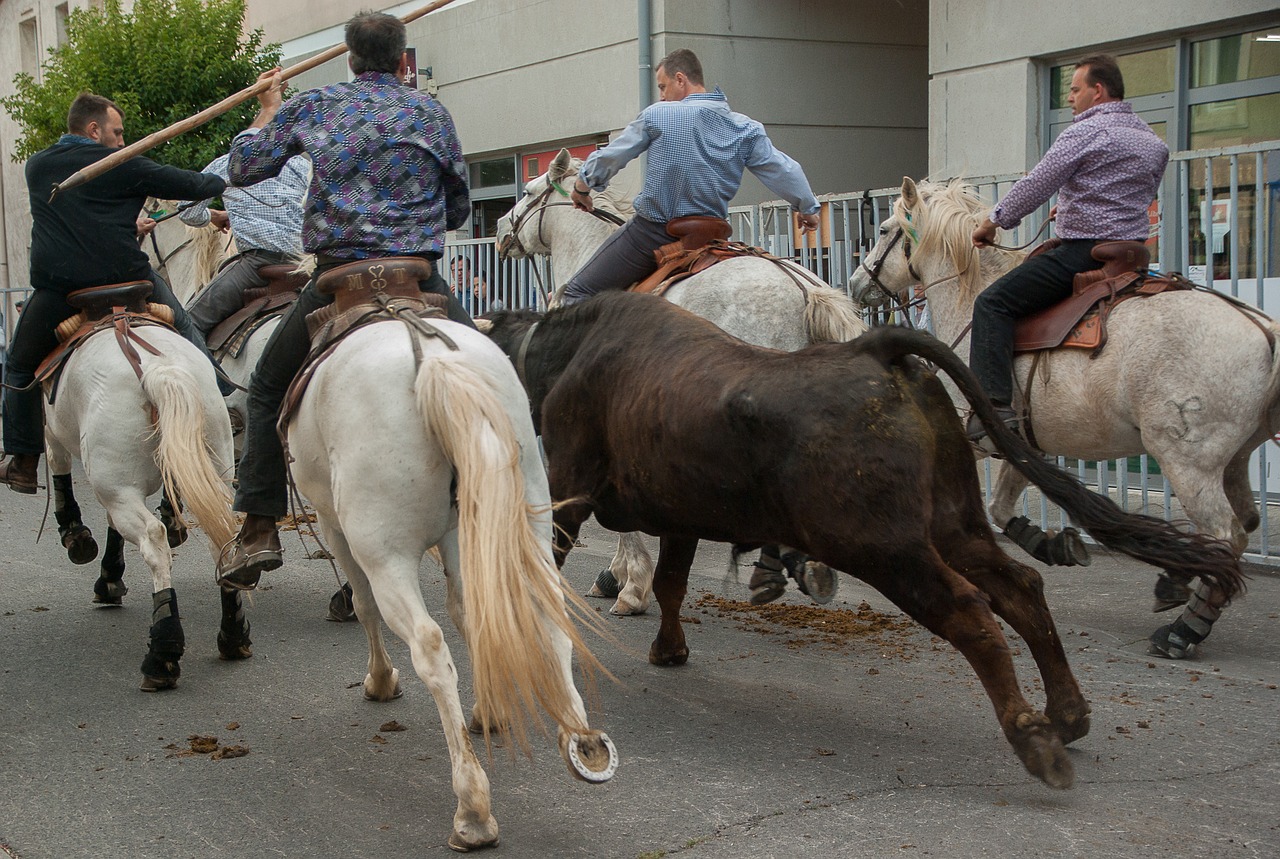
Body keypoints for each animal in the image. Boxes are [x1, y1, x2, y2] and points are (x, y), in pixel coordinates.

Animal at [43, 312, 241, 691]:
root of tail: (158, 369)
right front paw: (109, 578)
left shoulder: (54, 435)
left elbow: (59, 468)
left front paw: (78, 539)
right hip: (214, 467)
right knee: (222, 540)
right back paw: (234, 635)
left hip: (117, 488)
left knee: (154, 541)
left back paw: (163, 653)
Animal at [284, 311, 619, 855]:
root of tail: (435, 360)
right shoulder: (462, 538)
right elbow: (472, 615)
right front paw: (488, 711)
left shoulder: (337, 530)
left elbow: (363, 605)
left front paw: (381, 679)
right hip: (524, 518)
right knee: (548, 616)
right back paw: (581, 738)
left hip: (386, 554)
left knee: (430, 647)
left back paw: (473, 809)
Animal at [483, 291, 1244, 788]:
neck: (568, 350)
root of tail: (872, 346)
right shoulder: (680, 517)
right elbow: (671, 583)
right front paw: (669, 649)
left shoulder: (569, 490)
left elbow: (559, 567)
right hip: (950, 524)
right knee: (1022, 589)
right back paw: (1068, 712)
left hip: (885, 548)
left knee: (973, 613)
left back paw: (1034, 738)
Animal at [849, 176, 1280, 660]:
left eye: (883, 230)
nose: (856, 283)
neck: (972, 295)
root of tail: (1262, 328)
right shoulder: (1023, 444)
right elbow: (1001, 508)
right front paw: (1052, 545)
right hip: (1234, 460)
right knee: (1243, 527)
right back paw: (1182, 591)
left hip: (1188, 463)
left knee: (1225, 534)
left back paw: (1182, 628)